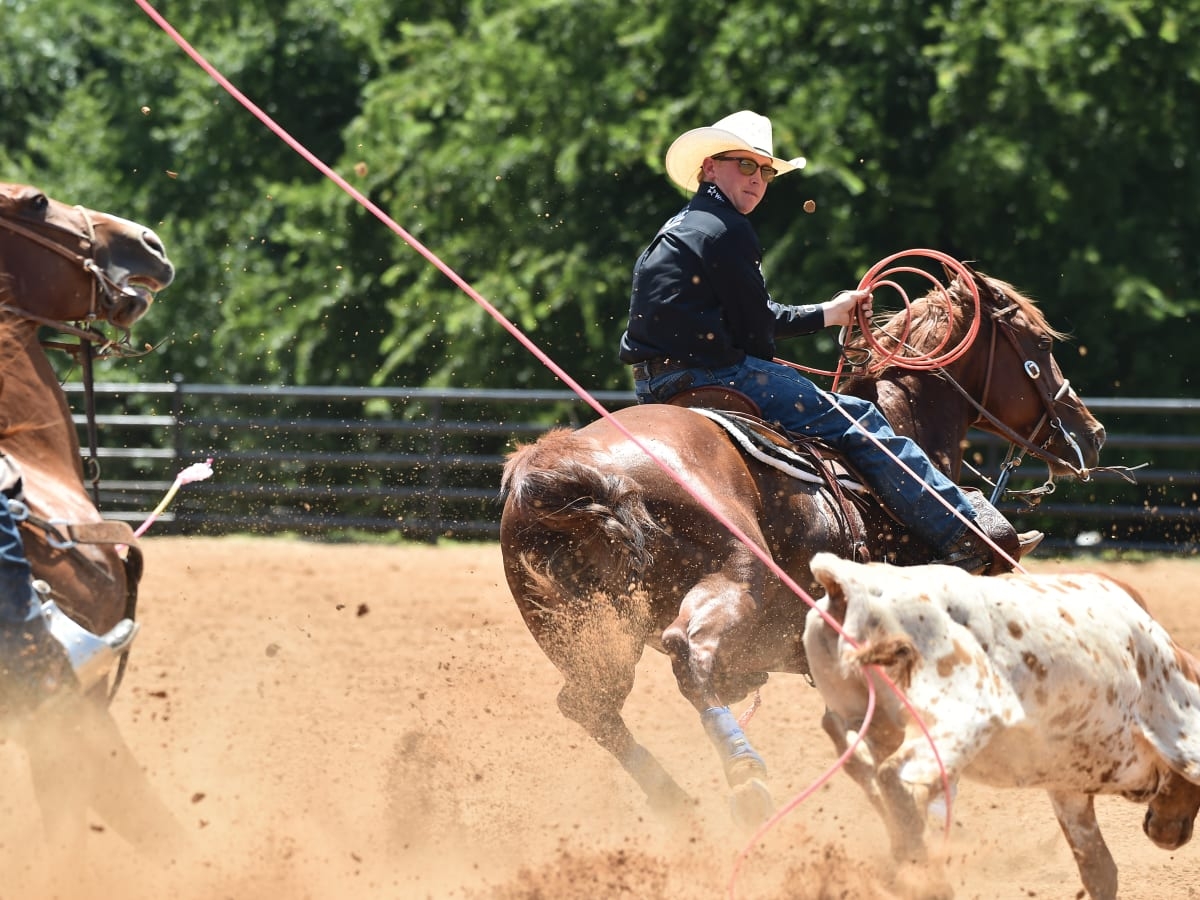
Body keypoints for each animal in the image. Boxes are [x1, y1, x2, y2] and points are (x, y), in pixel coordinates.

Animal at [496, 271, 1104, 830]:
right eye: (1042, 344)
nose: (1092, 432)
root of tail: (557, 465)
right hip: (738, 576)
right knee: (688, 652)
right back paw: (745, 777)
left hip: (581, 632)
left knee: (592, 705)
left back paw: (677, 803)